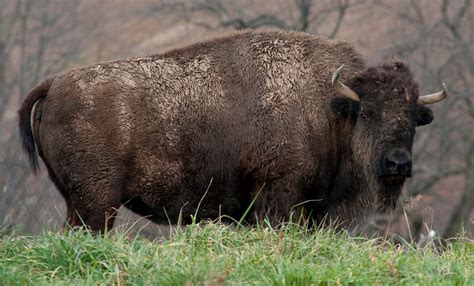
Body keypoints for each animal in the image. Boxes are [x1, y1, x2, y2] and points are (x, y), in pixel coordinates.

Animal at [19, 30, 448, 232]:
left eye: (413, 116)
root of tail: (55, 83)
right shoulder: (279, 199)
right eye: (369, 112)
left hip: (78, 201)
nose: (398, 163)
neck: (329, 109)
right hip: (97, 204)